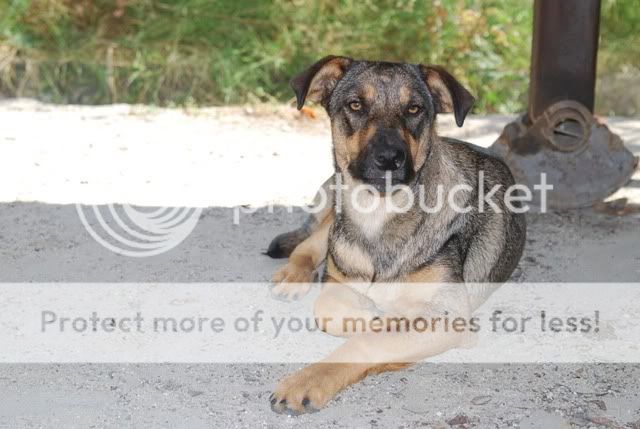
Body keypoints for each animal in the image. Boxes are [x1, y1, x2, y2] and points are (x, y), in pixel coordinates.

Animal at [264, 56, 524, 414]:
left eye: (414, 109)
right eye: (355, 105)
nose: (389, 158)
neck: (380, 214)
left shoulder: (445, 314)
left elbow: (369, 339)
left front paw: (308, 380)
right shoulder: (341, 279)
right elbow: (327, 307)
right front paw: (369, 315)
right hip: (332, 225)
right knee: (307, 244)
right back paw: (293, 276)